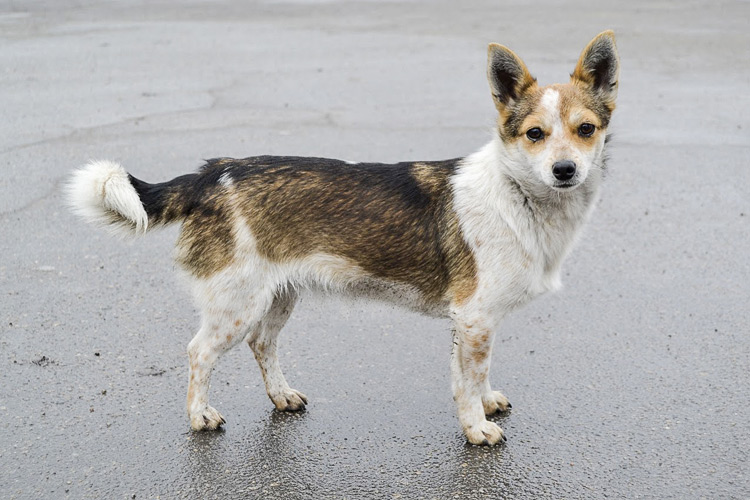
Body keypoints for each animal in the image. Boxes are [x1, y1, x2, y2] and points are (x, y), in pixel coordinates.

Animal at [66, 31, 616, 446]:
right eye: (534, 134)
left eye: (586, 129)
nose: (565, 170)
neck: (516, 195)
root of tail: (214, 172)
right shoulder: (475, 317)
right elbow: (467, 380)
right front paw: (475, 427)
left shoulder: (470, 324)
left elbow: (470, 374)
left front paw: (483, 404)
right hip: (235, 304)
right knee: (198, 353)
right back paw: (200, 415)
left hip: (277, 294)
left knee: (262, 344)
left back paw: (282, 396)